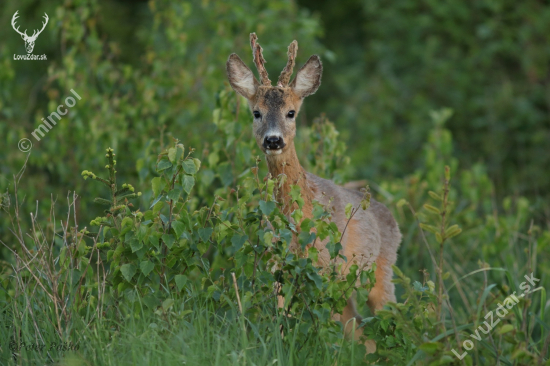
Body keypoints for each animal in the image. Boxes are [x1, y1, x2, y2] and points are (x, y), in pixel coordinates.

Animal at [226, 33, 404, 352]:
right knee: (359, 328)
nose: (273, 140)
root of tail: (394, 221)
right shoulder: (276, 261)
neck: (299, 218)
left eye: (291, 112)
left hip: (381, 270)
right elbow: (281, 316)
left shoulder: (325, 264)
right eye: (256, 113)